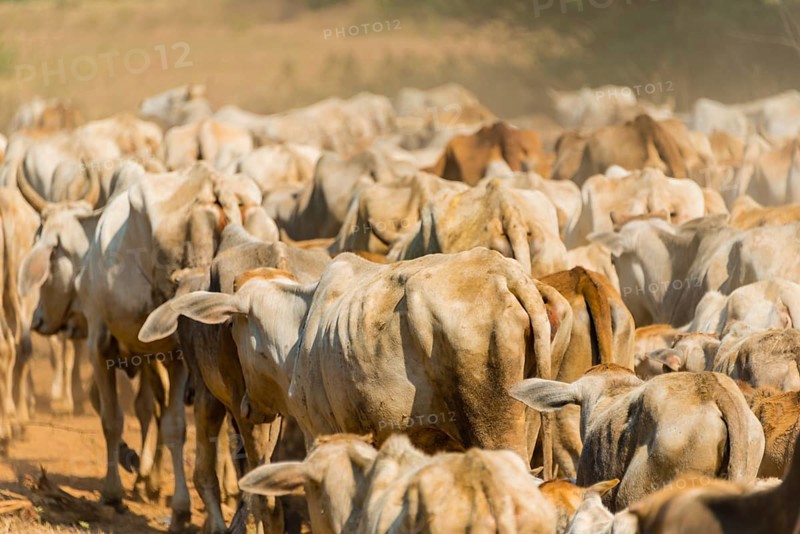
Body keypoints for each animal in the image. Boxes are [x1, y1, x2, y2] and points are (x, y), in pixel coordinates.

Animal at [139, 247, 574, 479]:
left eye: (231, 327)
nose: (247, 407)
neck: (300, 329)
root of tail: (509, 276)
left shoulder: (320, 430)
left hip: (494, 430)